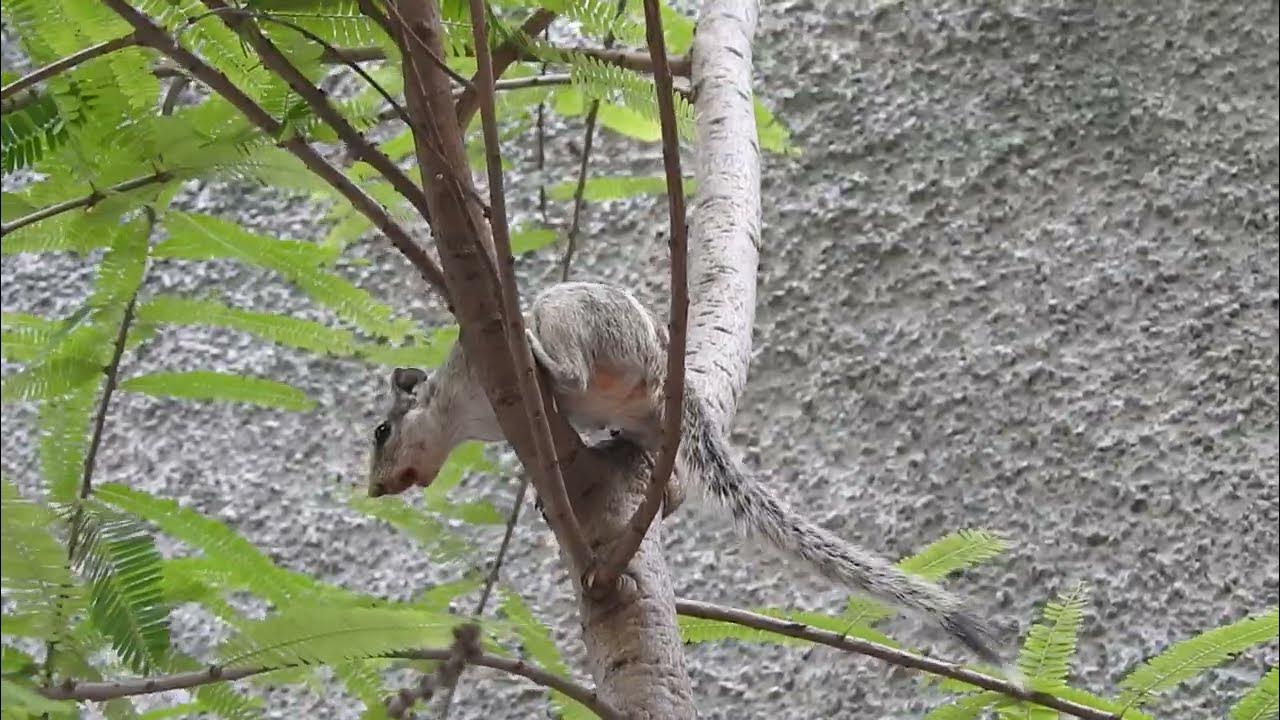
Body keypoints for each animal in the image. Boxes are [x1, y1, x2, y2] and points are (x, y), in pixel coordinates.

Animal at [367, 281, 1002, 663]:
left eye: (380, 431)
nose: (374, 489)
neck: (463, 411)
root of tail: (663, 370)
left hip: (574, 320)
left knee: (572, 371)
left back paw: (542, 355)